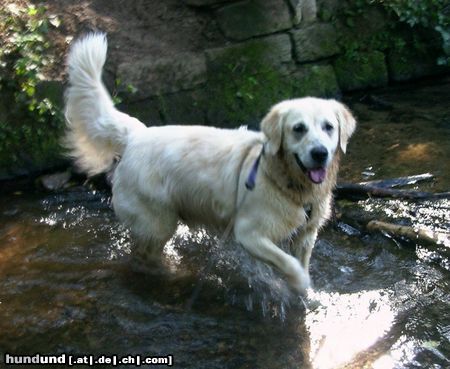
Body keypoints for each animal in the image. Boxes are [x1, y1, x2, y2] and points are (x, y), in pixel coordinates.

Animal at [65, 34, 356, 294]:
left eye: (328, 127)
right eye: (298, 129)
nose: (320, 153)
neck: (286, 181)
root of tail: (136, 134)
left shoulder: (306, 234)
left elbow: (300, 262)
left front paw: (308, 296)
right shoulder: (250, 234)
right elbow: (291, 266)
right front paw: (300, 287)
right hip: (156, 222)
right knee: (143, 256)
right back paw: (169, 273)